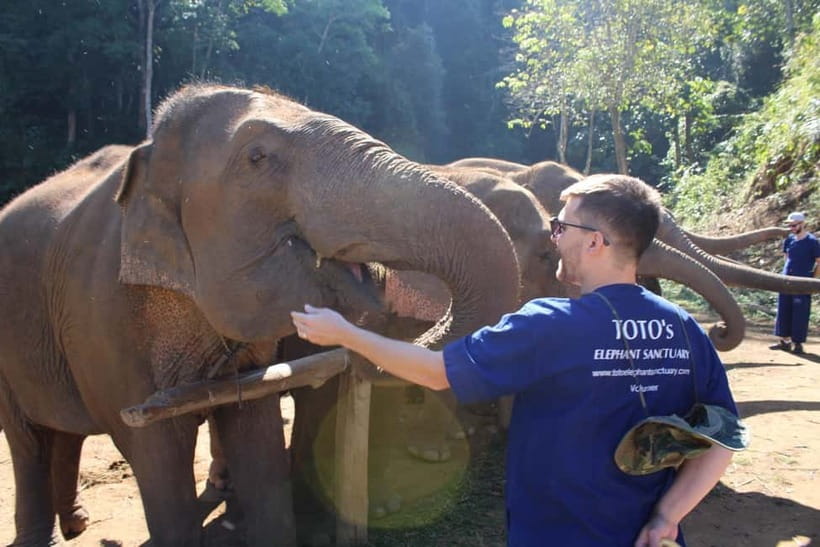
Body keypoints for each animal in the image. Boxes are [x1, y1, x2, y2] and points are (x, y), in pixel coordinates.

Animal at [0, 84, 521, 546]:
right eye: (257, 158)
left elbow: (259, 430)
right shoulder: (99, 318)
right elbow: (154, 451)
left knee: (60, 430)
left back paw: (78, 522)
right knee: (27, 440)